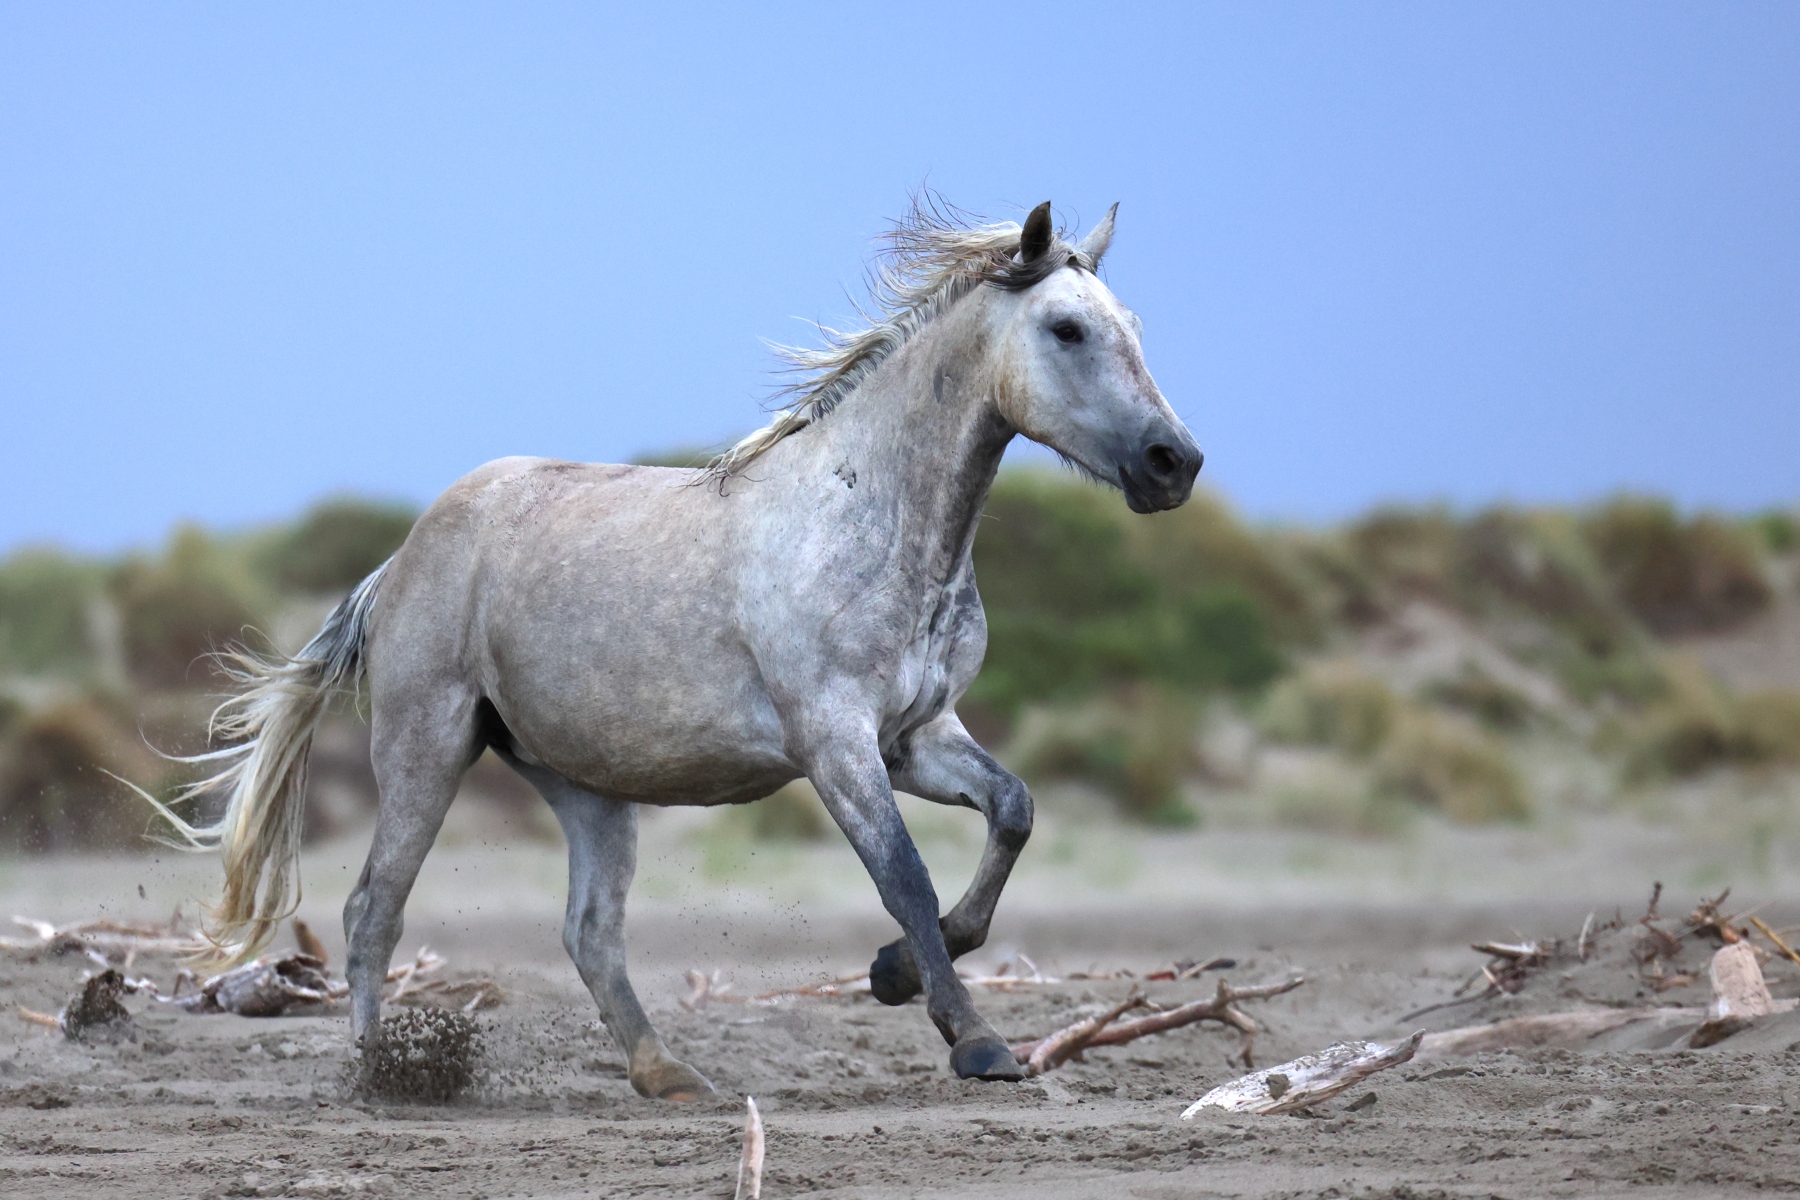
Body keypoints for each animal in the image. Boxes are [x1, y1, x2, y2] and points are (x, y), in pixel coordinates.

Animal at [149, 197, 1202, 1099]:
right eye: (1066, 329)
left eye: (1132, 324)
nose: (1174, 463)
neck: (874, 519)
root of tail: (402, 557)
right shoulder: (835, 741)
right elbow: (905, 876)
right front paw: (976, 1040)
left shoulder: (917, 737)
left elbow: (1012, 814)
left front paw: (894, 976)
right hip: (426, 746)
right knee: (373, 911)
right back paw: (379, 1076)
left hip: (584, 785)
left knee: (588, 932)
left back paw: (666, 1073)